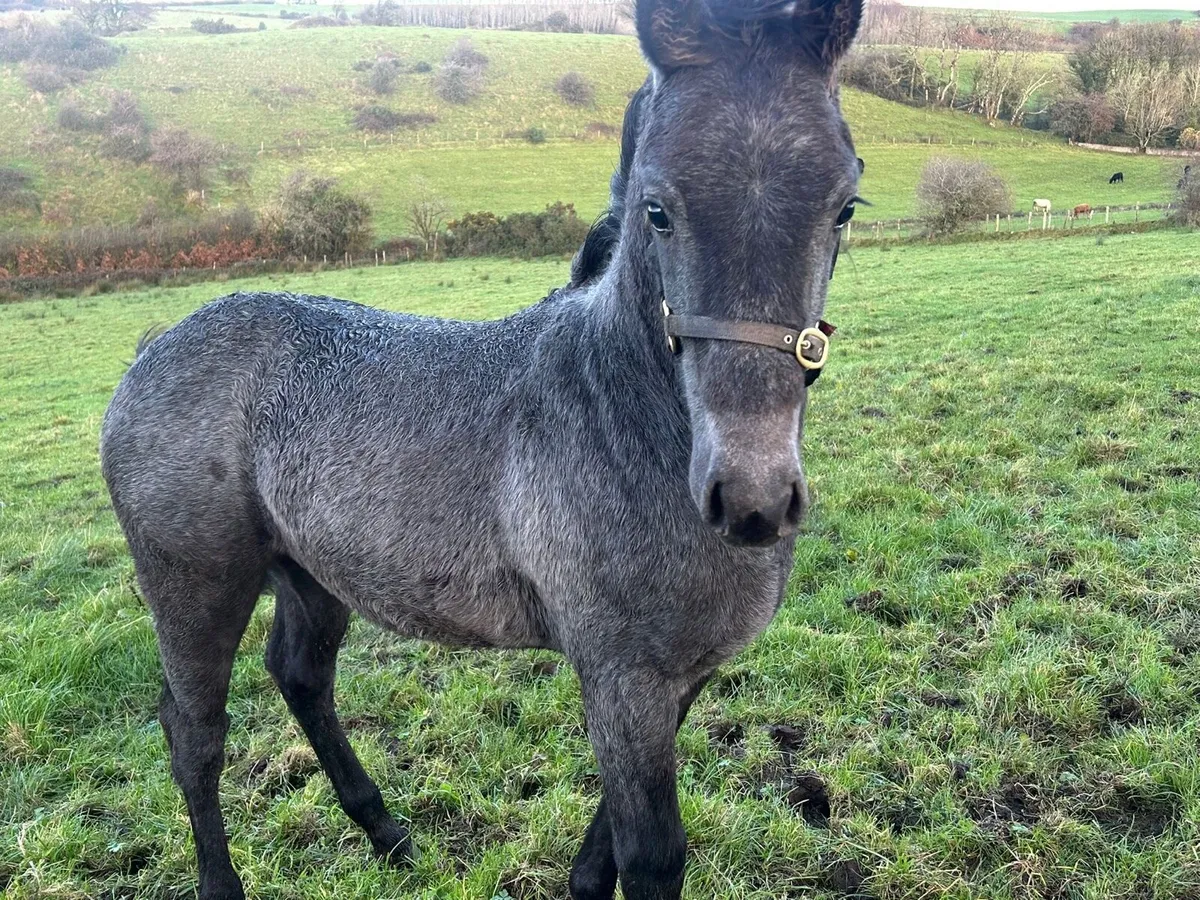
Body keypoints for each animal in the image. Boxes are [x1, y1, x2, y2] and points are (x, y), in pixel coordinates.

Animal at [98, 0, 865, 897]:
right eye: (658, 208)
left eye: (845, 205)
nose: (752, 497)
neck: (622, 418)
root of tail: (153, 347)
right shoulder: (623, 678)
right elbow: (650, 855)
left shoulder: (678, 678)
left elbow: (600, 852)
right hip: (196, 585)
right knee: (195, 733)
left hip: (313, 572)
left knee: (300, 677)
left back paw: (389, 835)